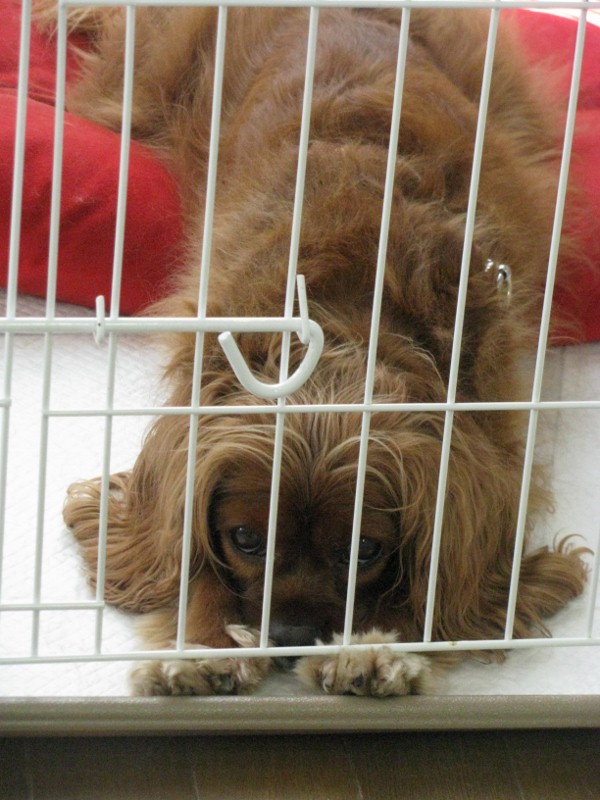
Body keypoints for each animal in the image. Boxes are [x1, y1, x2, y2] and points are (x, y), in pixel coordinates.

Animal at [38, 5, 589, 696]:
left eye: (364, 551)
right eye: (245, 538)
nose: (289, 636)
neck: (340, 316)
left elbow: (435, 585)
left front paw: (373, 652)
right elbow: (186, 549)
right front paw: (203, 650)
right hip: (135, 92)